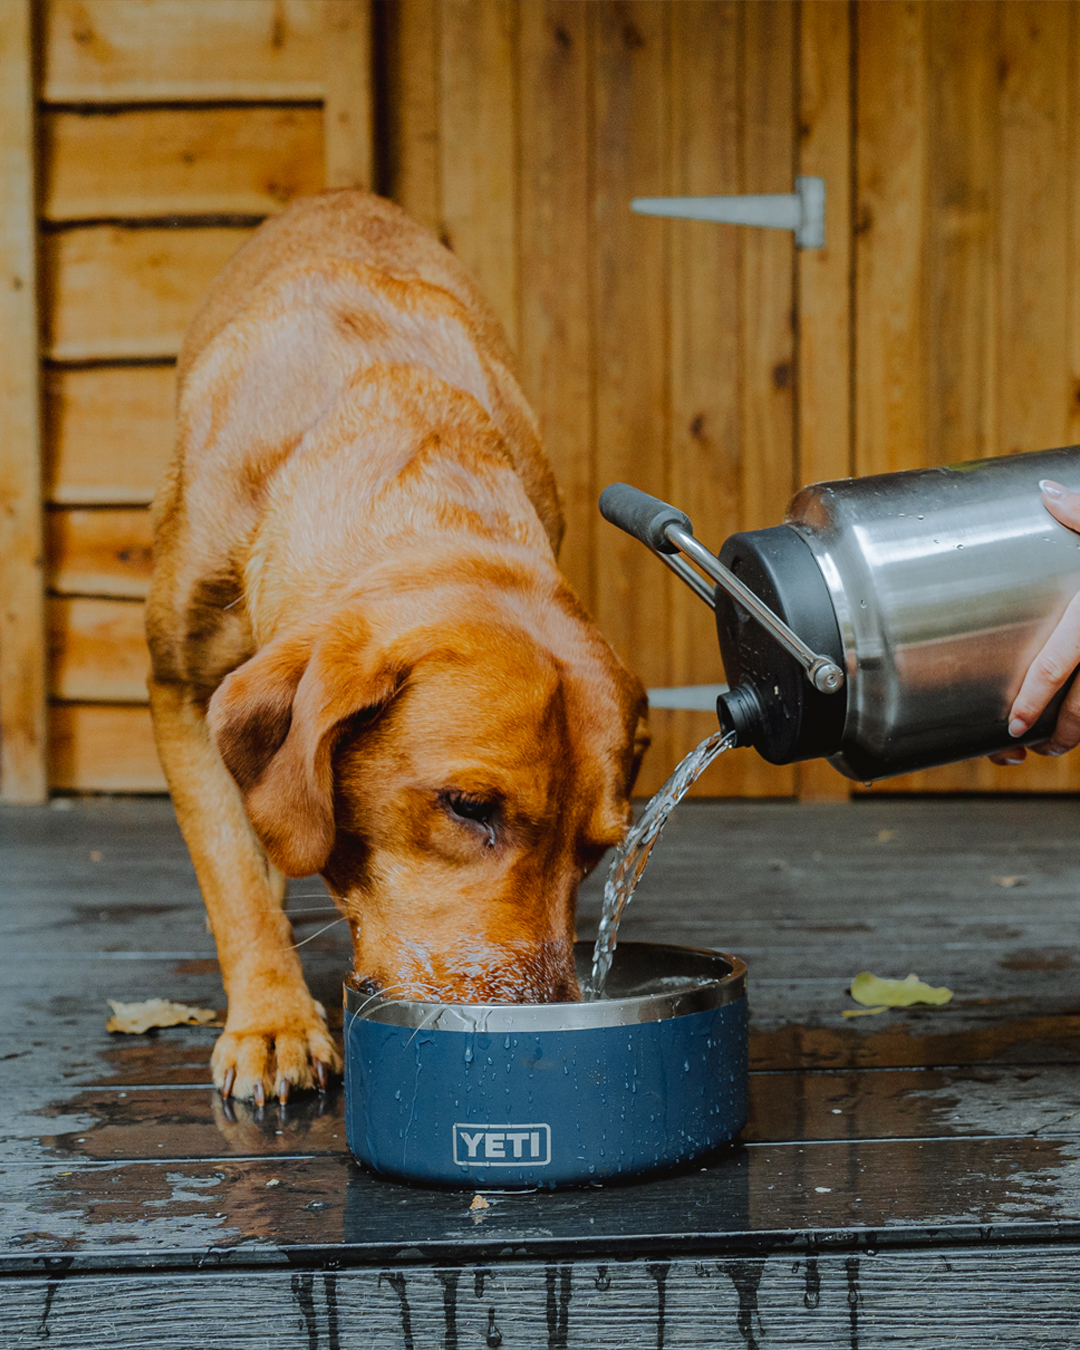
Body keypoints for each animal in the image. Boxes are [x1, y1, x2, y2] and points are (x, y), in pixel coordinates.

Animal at [145, 190, 650, 1107]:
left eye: (600, 849)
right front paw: (272, 1021)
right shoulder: (179, 688)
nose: (542, 1024)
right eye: (470, 807)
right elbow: (233, 877)